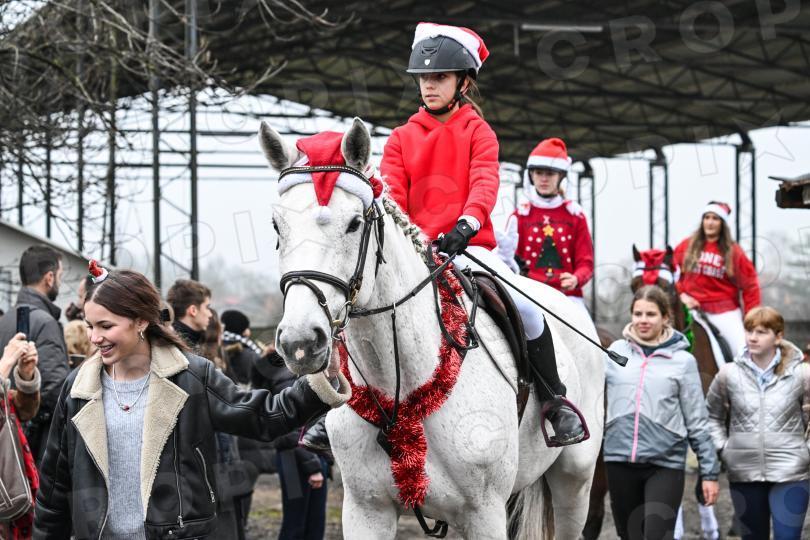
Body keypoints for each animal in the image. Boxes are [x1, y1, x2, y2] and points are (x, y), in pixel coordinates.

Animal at [260, 118, 605, 539]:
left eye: (354, 223)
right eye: (277, 225)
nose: (301, 341)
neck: (401, 387)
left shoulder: (483, 513)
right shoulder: (366, 511)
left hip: (575, 482)